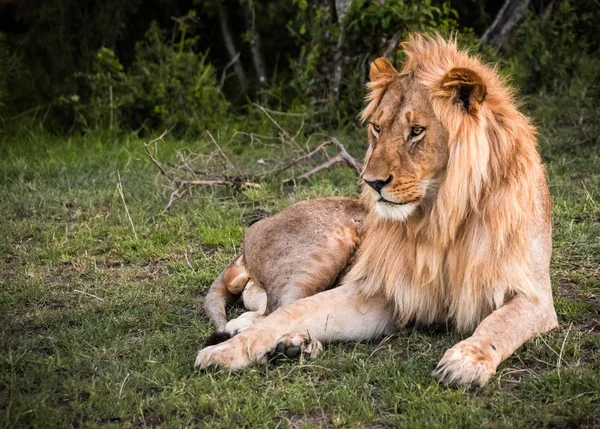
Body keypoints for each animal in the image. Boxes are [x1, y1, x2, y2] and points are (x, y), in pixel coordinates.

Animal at [196, 34, 556, 388]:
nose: (372, 182)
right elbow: (295, 311)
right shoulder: (382, 292)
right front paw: (226, 352)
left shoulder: (535, 296)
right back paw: (288, 343)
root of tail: (250, 236)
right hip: (323, 248)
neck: (440, 217)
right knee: (276, 306)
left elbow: (500, 322)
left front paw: (466, 361)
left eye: (416, 131)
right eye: (377, 129)